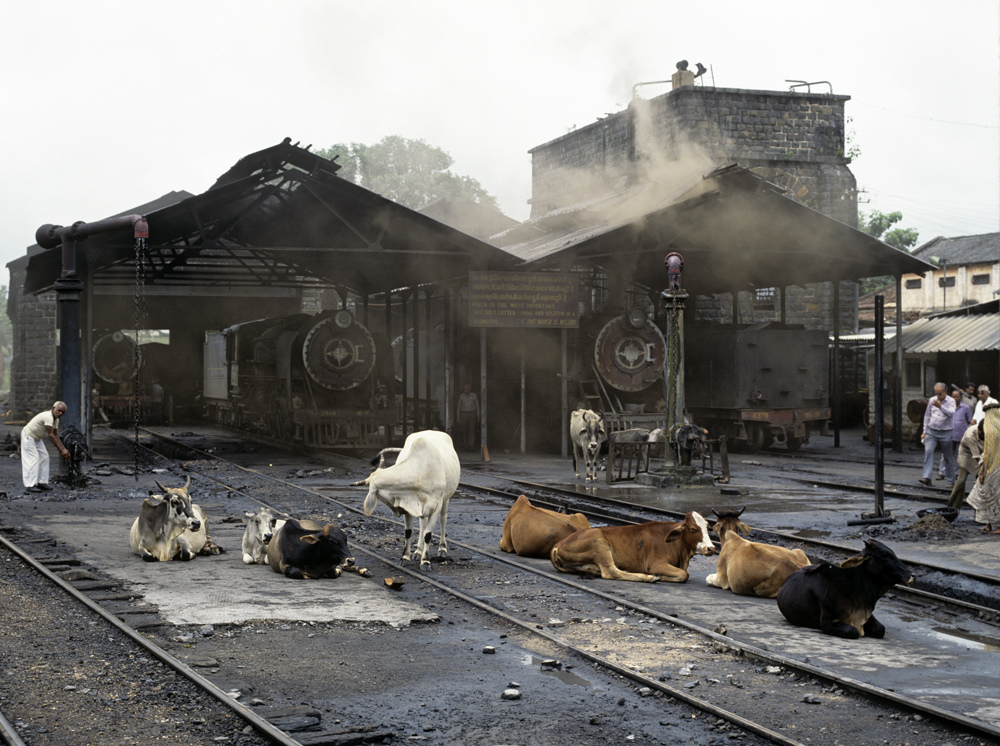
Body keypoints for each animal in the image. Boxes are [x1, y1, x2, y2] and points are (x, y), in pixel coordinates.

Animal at [354, 428, 458, 568]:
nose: (397, 511)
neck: (419, 472)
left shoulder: (435, 506)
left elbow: (428, 534)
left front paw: (425, 561)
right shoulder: (407, 504)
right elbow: (409, 531)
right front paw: (405, 557)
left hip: (446, 499)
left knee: (443, 519)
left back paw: (442, 548)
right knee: (422, 523)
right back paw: (418, 551)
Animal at [548, 512, 712, 580]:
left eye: (708, 526)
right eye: (693, 529)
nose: (711, 548)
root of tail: (558, 544)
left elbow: (685, 573)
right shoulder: (655, 564)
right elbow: (683, 575)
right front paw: (660, 576)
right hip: (600, 544)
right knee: (611, 572)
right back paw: (649, 578)